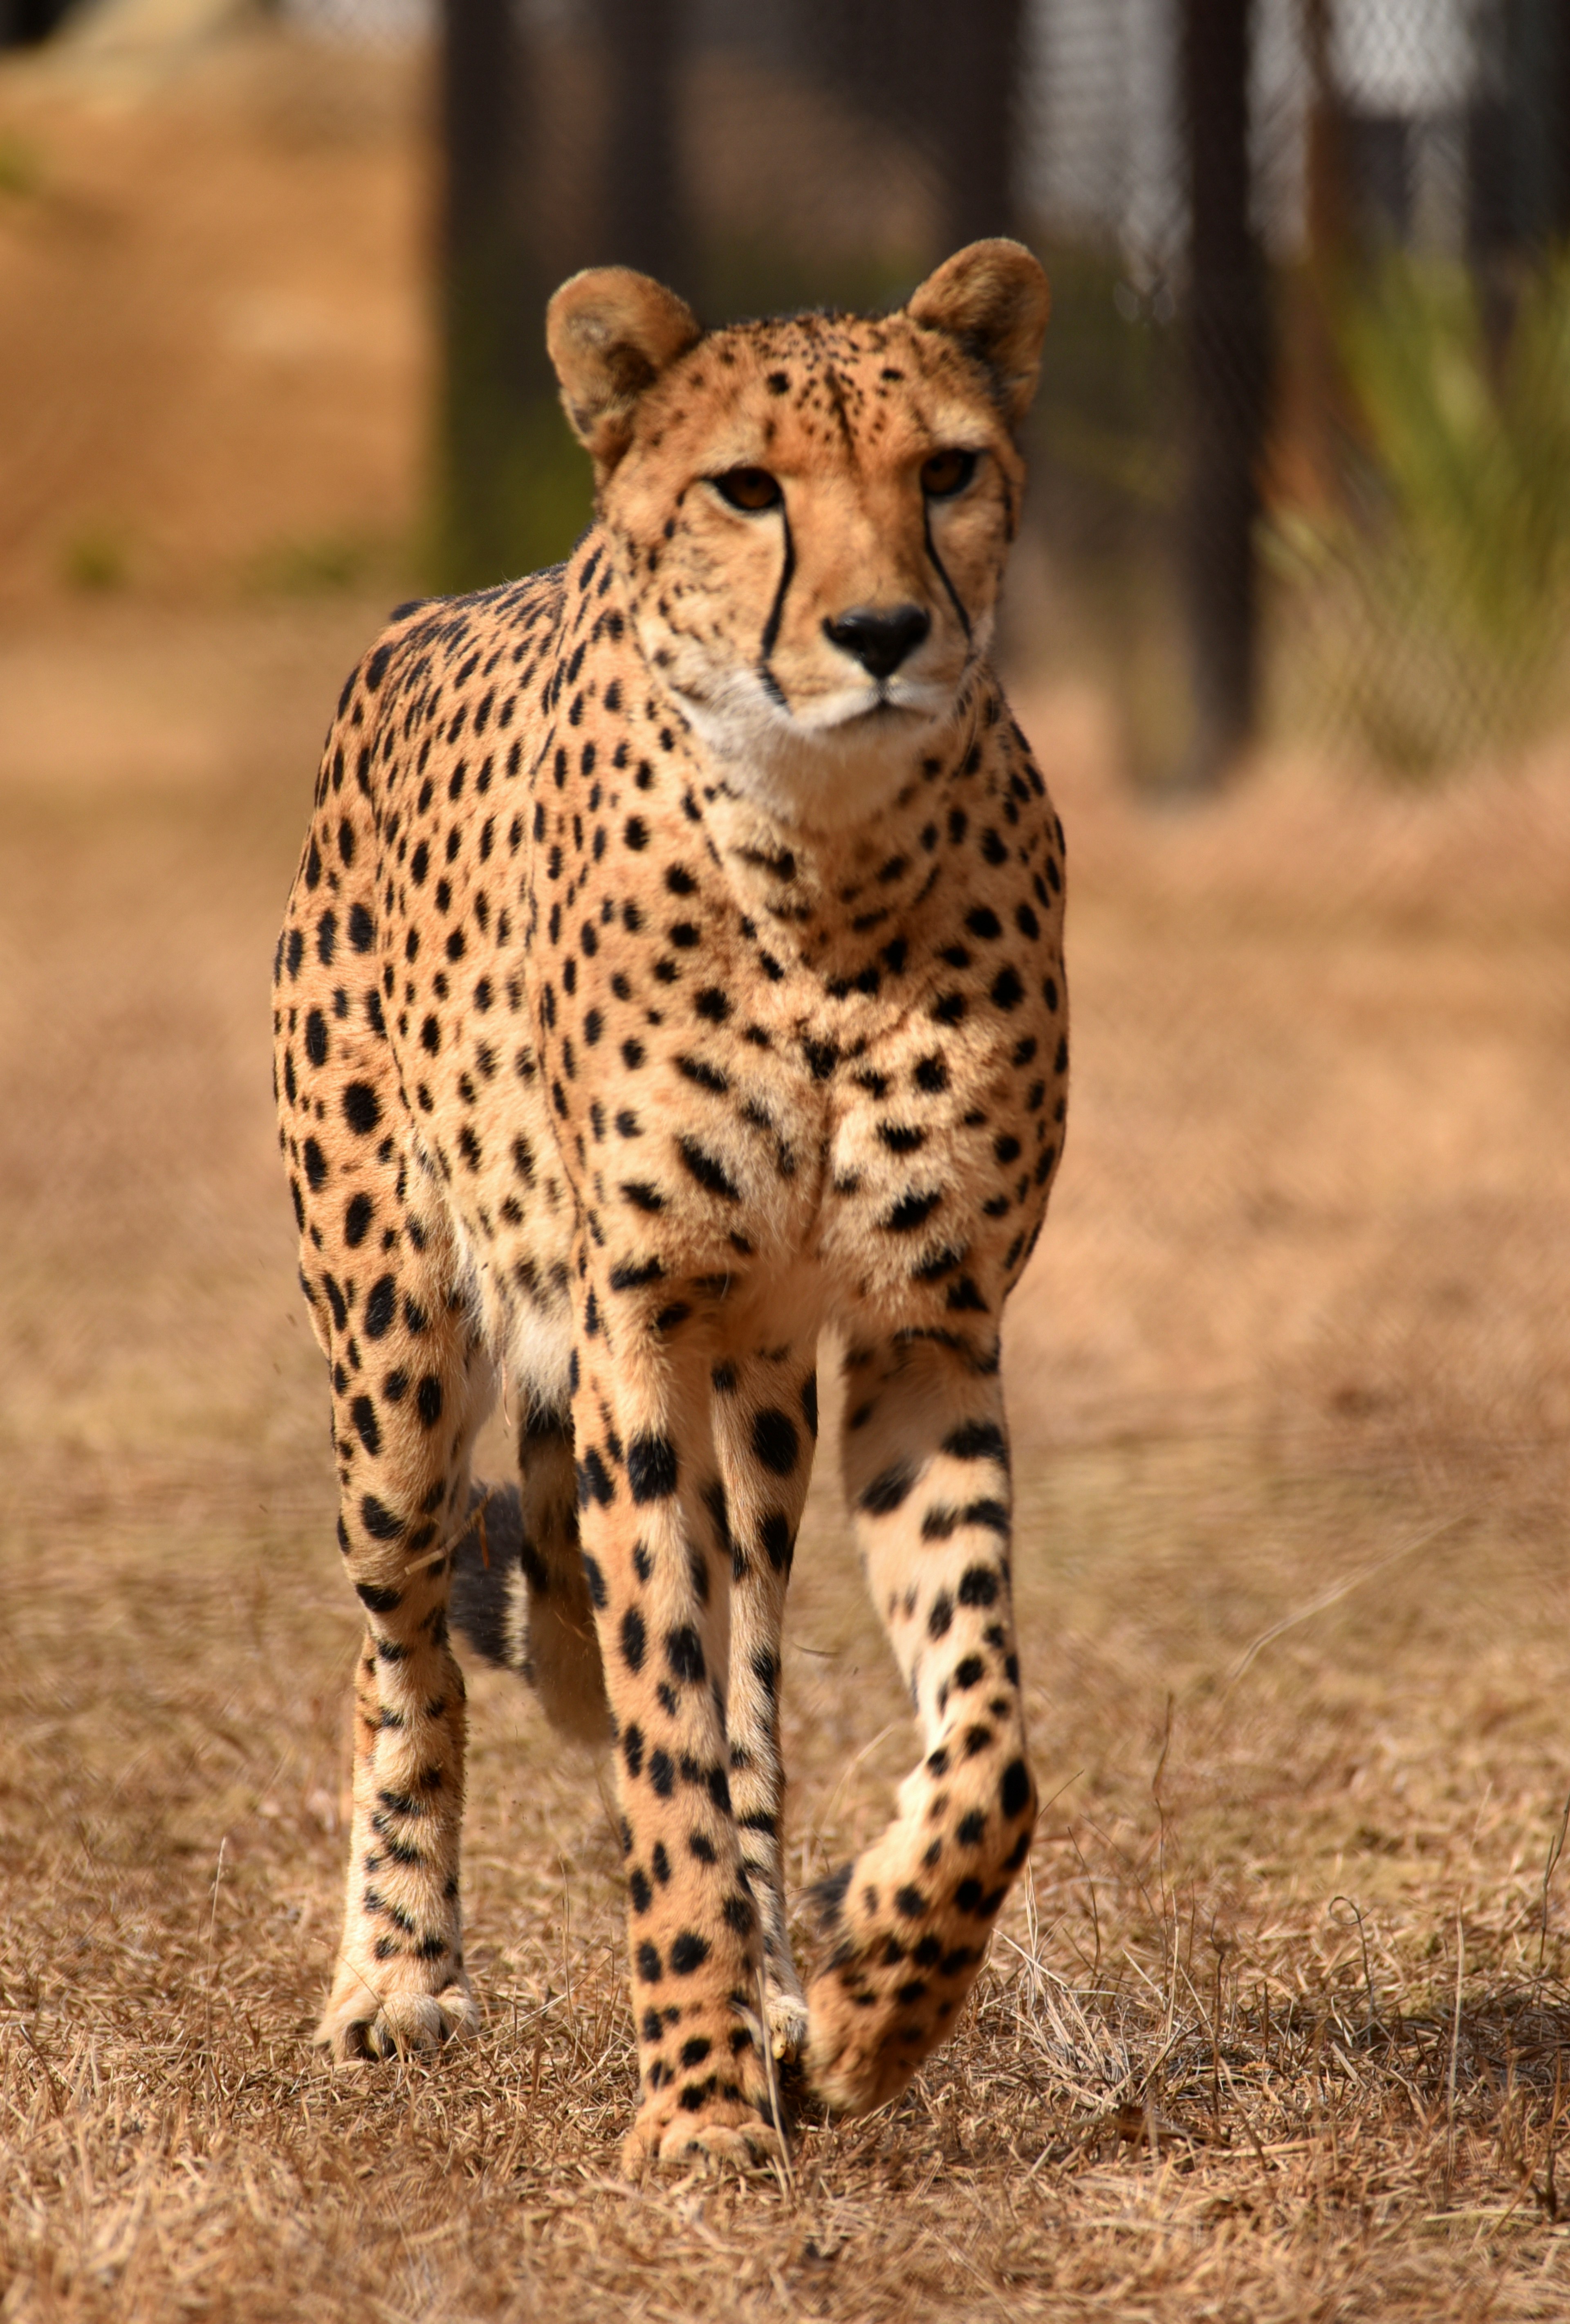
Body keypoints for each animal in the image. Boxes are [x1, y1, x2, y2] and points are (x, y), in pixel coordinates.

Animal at [276, 227, 1073, 2166]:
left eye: (948, 470)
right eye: (747, 489)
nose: (881, 636)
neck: (824, 876)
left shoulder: (928, 1328)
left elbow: (983, 1739)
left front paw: (866, 2004)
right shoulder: (630, 1334)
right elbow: (653, 1736)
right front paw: (702, 2103)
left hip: (768, 1410)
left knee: (757, 1680)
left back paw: (791, 1984)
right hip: (396, 1357)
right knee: (406, 1645)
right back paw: (398, 1975)